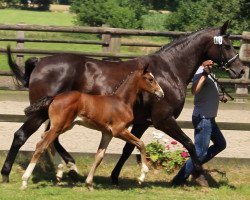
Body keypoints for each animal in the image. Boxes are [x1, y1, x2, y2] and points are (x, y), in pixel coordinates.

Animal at [21, 64, 164, 191]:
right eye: (150, 79)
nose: (161, 93)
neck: (121, 102)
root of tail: (55, 97)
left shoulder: (107, 133)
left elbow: (99, 156)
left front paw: (89, 184)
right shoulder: (119, 131)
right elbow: (141, 144)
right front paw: (142, 176)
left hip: (63, 126)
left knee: (46, 140)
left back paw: (59, 173)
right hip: (60, 126)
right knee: (42, 145)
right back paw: (25, 181)